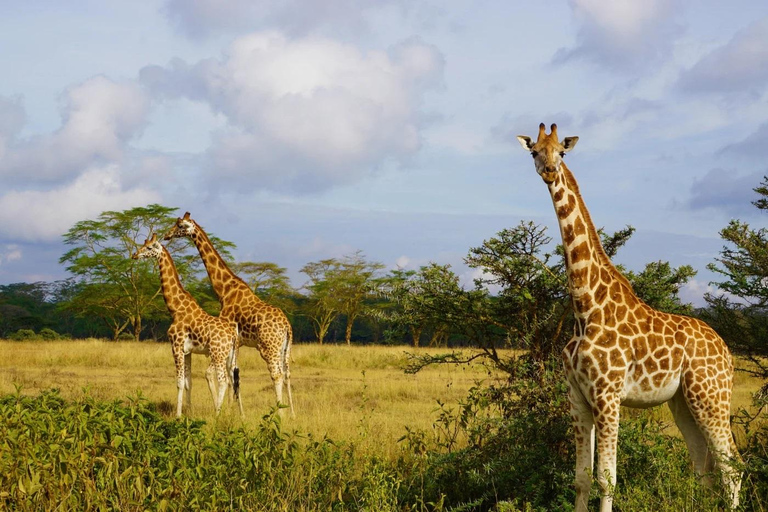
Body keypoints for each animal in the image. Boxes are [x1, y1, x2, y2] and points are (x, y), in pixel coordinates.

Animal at [130, 234, 242, 418]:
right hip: (230, 356)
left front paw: (178, 415)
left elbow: (179, 382)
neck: (175, 308)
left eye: (149, 247)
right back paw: (239, 415)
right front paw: (188, 412)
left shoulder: (176, 346)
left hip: (217, 354)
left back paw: (217, 415)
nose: (135, 255)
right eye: (143, 244)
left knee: (223, 380)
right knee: (234, 380)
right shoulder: (188, 351)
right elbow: (189, 382)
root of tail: (233, 335)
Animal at [164, 212, 296, 416]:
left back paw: (280, 413)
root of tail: (287, 326)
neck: (224, 290)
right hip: (285, 348)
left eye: (180, 225)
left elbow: (222, 375)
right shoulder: (236, 343)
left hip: (268, 347)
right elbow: (233, 375)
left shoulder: (228, 339)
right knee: (288, 373)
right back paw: (292, 414)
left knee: (276, 374)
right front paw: (234, 411)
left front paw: (226, 410)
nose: (167, 235)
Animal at [520, 124, 740, 512]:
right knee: (703, 464)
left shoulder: (608, 395)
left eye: (562, 152)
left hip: (712, 395)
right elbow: (581, 479)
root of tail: (726, 351)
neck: (585, 308)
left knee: (731, 467)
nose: (548, 171)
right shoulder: (577, 398)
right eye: (534, 151)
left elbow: (606, 479)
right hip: (683, 401)